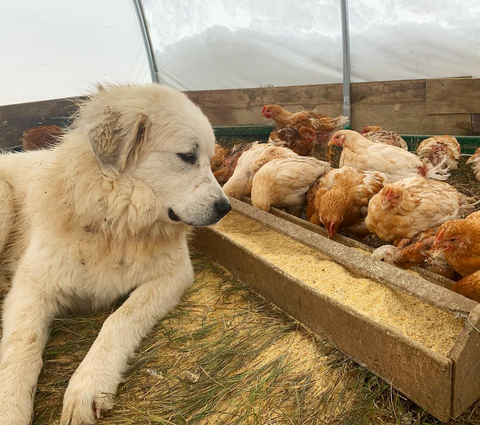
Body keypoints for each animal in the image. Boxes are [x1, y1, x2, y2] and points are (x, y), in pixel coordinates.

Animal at [0, 83, 231, 424]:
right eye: (188, 156)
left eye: (210, 158)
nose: (226, 208)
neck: (116, 219)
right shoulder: (32, 287)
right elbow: (21, 348)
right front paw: (10, 407)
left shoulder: (174, 274)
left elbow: (119, 319)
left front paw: (89, 384)